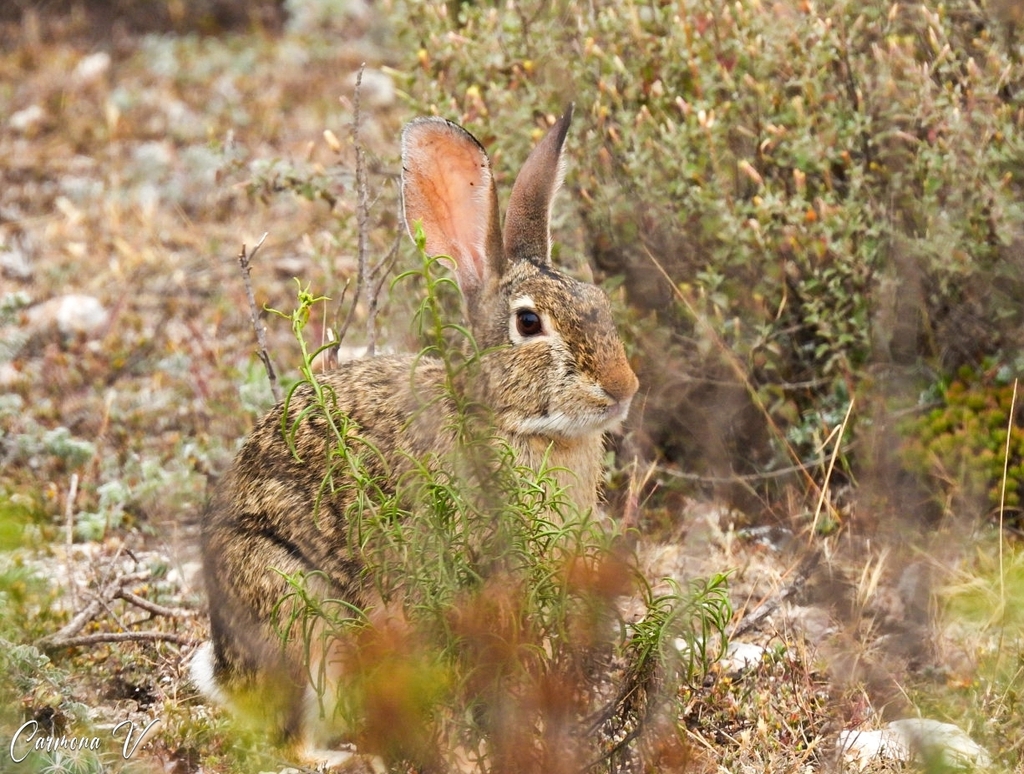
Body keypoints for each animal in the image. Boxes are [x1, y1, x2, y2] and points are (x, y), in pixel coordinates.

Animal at [191, 107, 634, 769]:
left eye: (600, 300)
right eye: (529, 323)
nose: (624, 387)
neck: (510, 422)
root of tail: (228, 677)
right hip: (303, 622)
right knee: (289, 736)